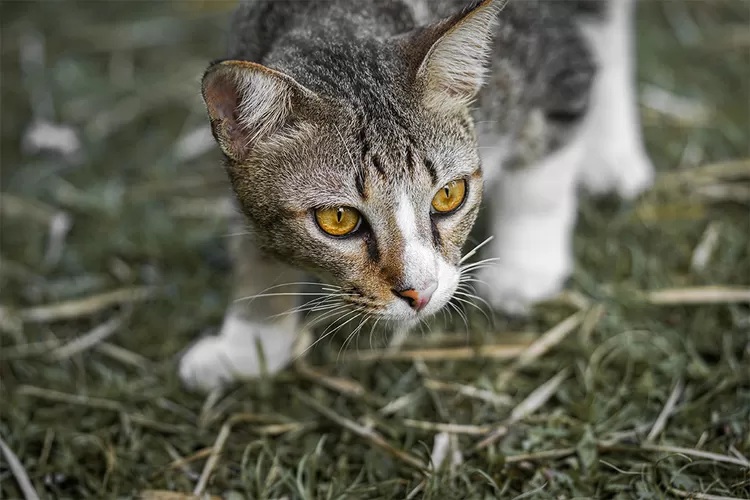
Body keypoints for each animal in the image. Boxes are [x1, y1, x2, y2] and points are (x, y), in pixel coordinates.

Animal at [179, 0, 656, 390]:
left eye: (449, 195)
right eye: (338, 219)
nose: (420, 293)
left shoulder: (555, 63)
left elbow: (540, 181)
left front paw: (524, 271)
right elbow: (253, 243)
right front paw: (248, 345)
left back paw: (611, 155)